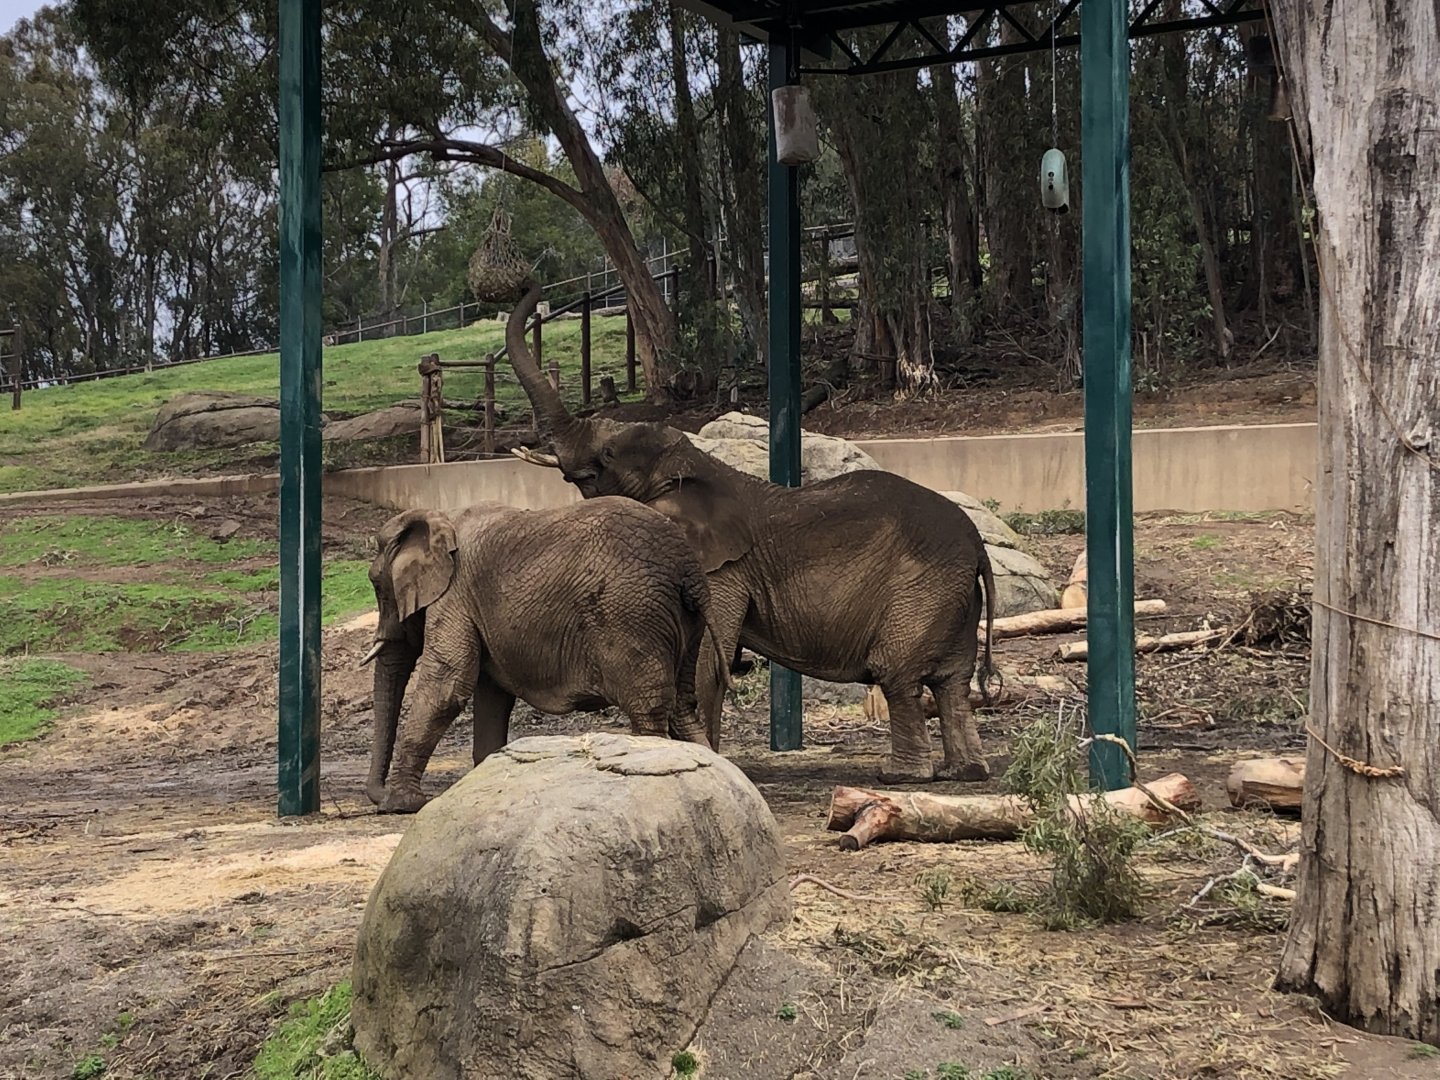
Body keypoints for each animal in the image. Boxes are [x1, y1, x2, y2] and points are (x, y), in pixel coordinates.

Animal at [359, 498, 729, 813]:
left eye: (377, 585)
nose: (378, 797)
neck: (438, 516)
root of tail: (689, 572)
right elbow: (491, 696)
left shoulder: (455, 596)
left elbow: (447, 686)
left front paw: (401, 804)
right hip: (683, 624)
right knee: (682, 709)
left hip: (632, 616)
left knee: (649, 713)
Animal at [502, 280, 999, 783]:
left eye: (606, 455)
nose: (531, 284)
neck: (696, 467)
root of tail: (979, 547)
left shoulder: (722, 571)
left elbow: (707, 661)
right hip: (952, 595)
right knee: (952, 683)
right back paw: (965, 772)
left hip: (921, 590)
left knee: (898, 675)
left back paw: (901, 777)